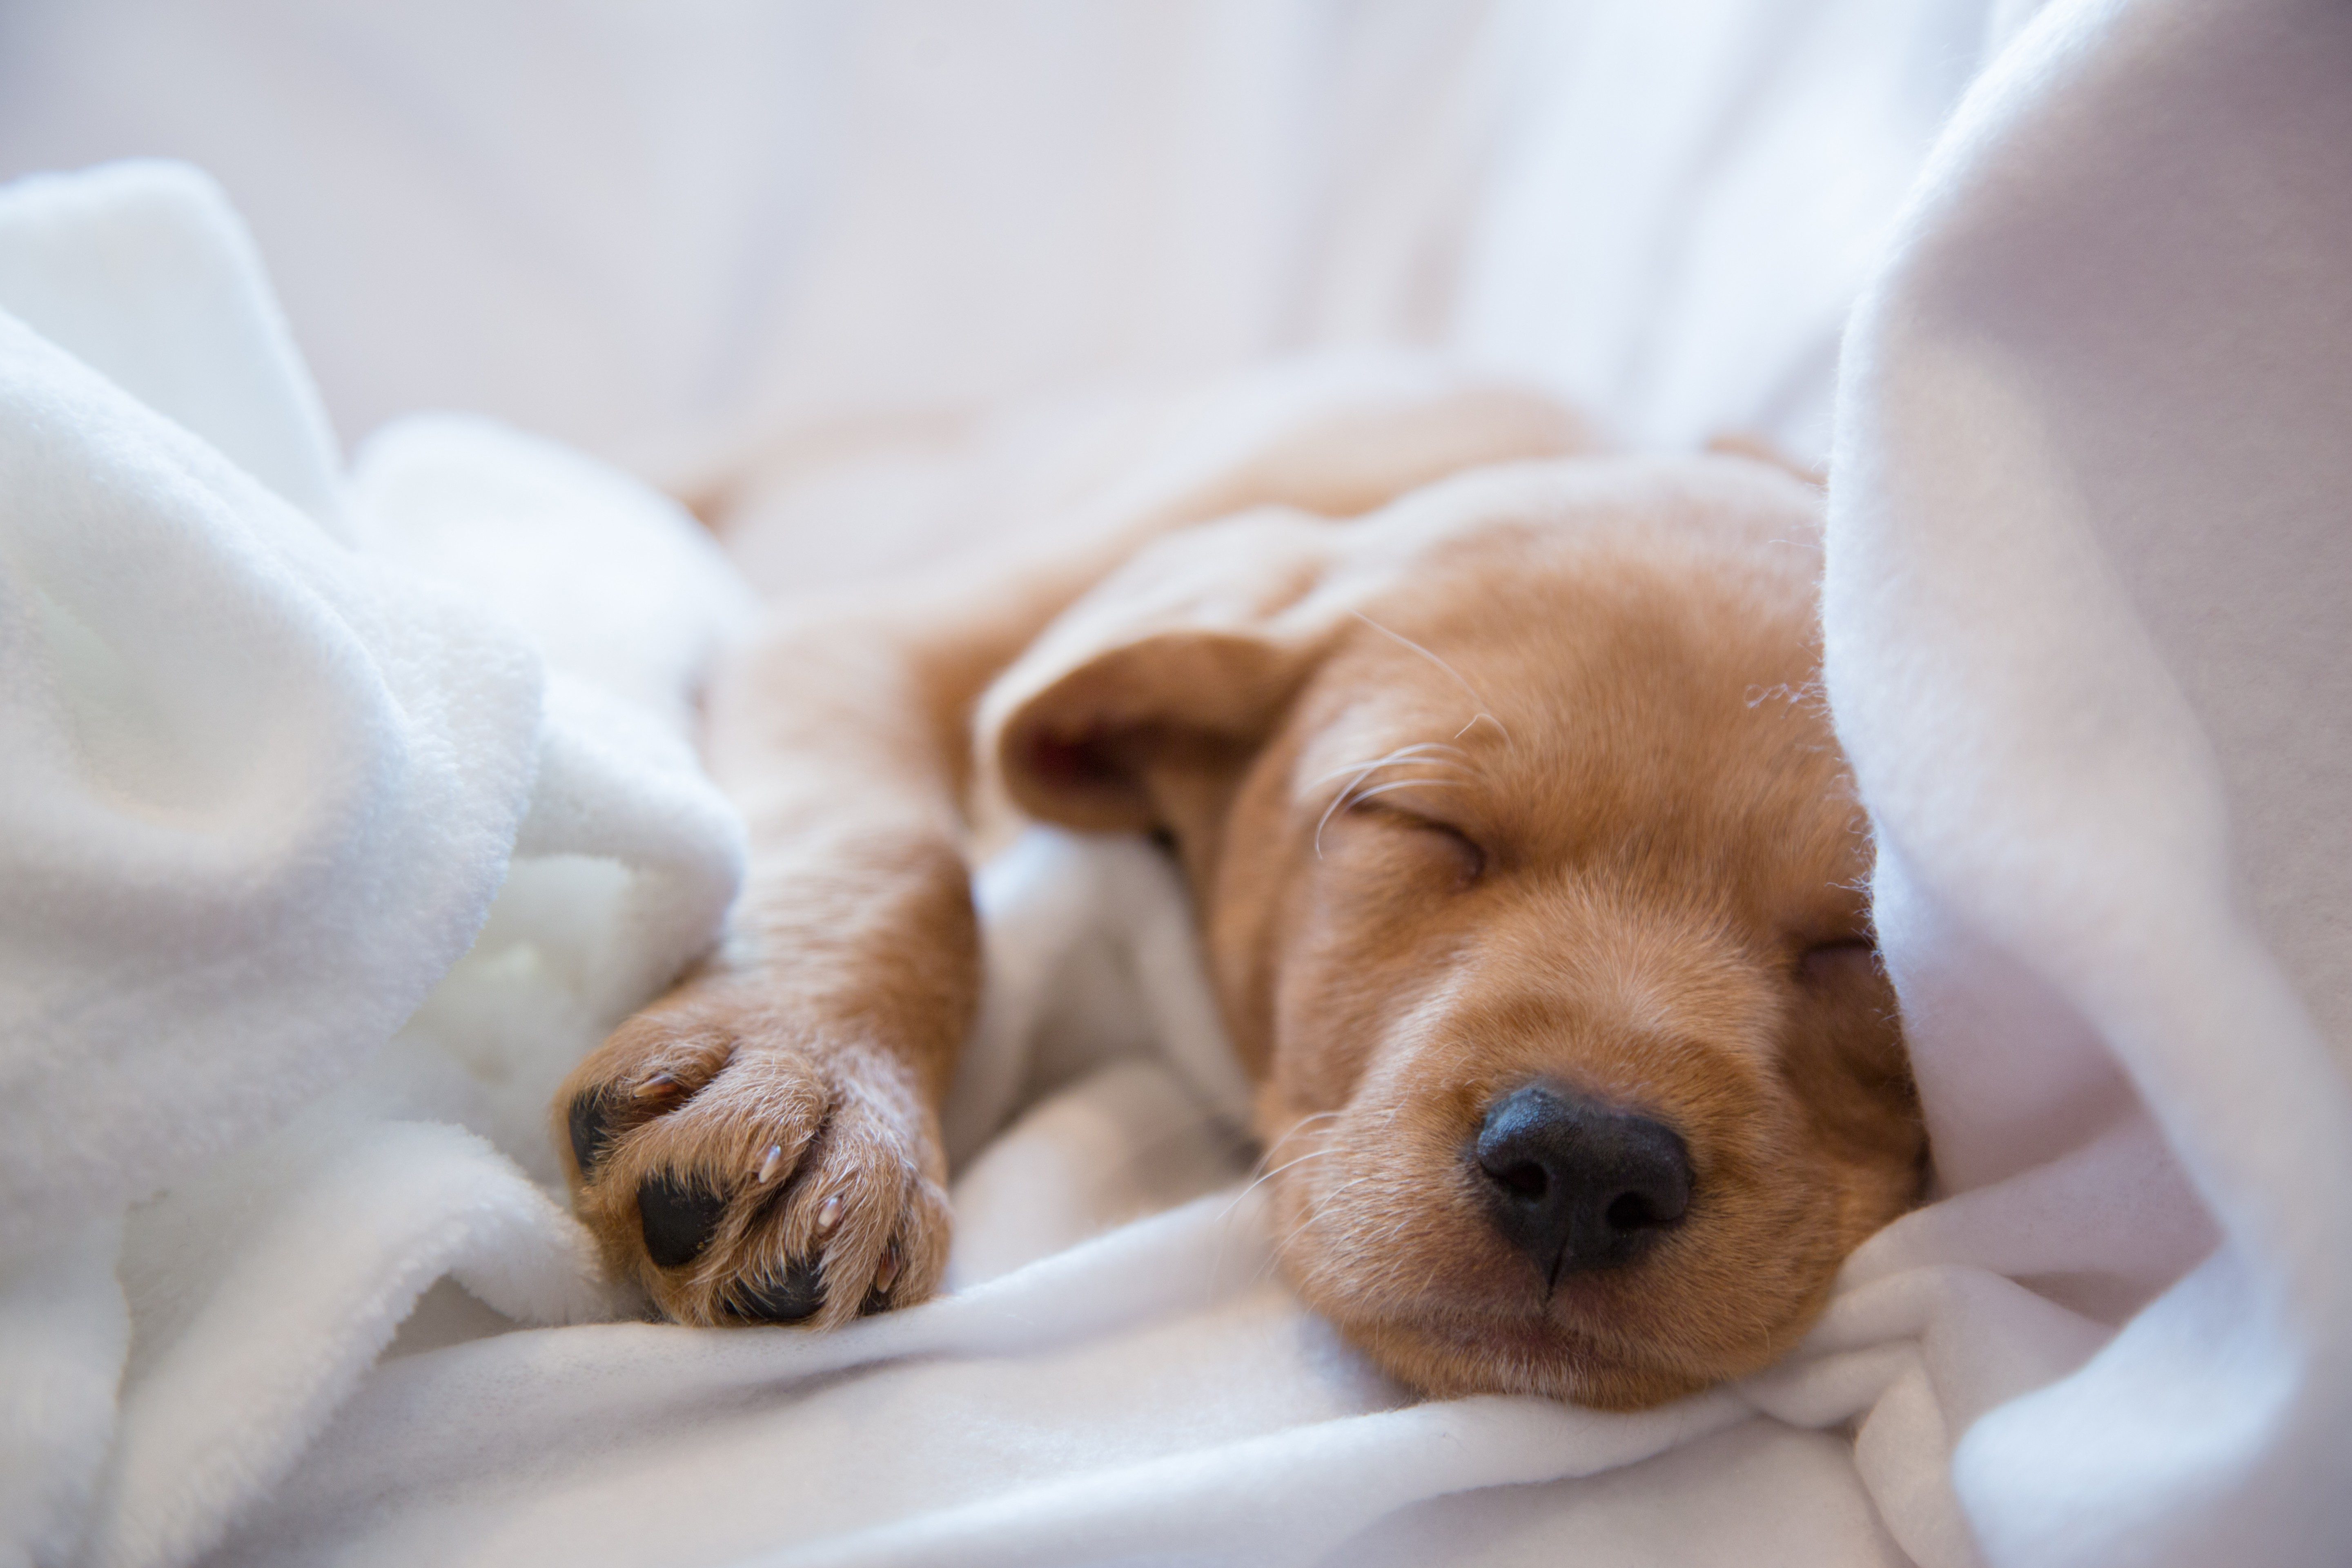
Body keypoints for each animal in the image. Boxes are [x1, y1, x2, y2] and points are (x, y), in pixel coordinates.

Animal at [555, 385, 1929, 1420]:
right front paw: (815, 1079)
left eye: (1863, 942)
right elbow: (899, 852)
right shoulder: (871, 636)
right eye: (1420, 823)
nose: (1588, 1168)